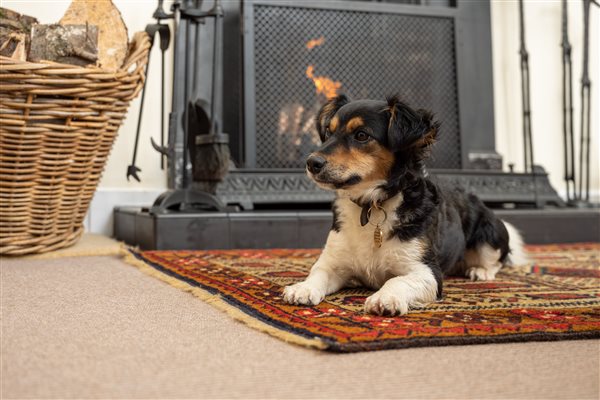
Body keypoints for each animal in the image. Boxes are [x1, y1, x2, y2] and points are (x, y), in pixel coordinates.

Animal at [284, 94, 528, 316]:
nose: (311, 163)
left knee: (499, 259)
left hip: (490, 233)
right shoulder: (333, 261)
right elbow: (317, 272)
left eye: (361, 135)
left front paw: (384, 298)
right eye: (328, 132)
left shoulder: (427, 272)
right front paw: (302, 288)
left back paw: (481, 271)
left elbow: (396, 281)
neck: (372, 204)